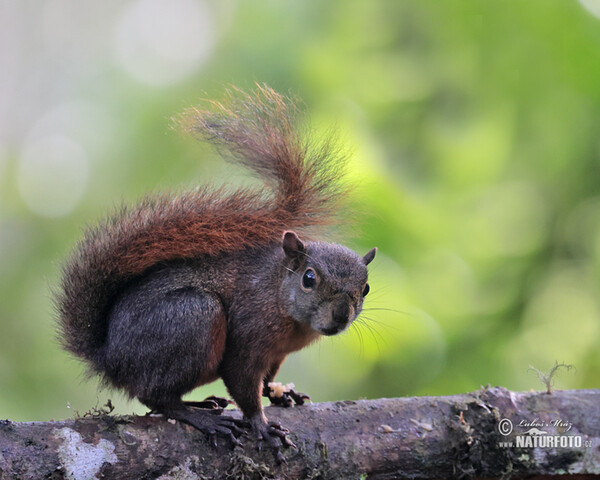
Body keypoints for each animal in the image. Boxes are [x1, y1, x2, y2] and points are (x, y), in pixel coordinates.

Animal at [55, 85, 376, 462]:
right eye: (309, 279)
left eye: (366, 288)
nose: (341, 316)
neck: (283, 305)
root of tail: (109, 356)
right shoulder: (248, 336)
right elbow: (242, 381)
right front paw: (262, 425)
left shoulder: (277, 354)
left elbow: (265, 380)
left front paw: (282, 393)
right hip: (193, 318)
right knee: (154, 396)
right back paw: (201, 417)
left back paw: (203, 404)